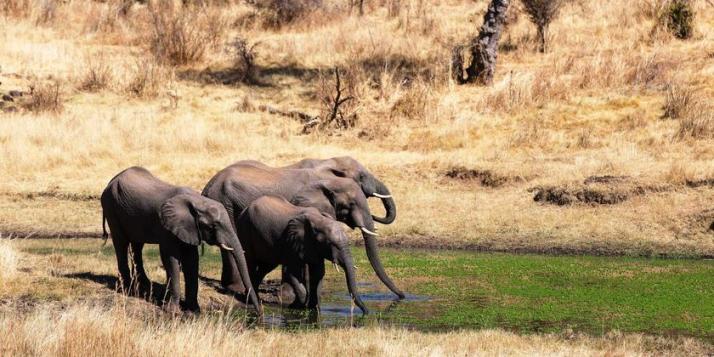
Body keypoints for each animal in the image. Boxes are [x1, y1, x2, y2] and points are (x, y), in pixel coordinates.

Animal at [98, 165, 258, 312]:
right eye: (213, 226)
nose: (259, 313)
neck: (198, 201)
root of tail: (111, 181)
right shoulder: (166, 227)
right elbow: (171, 258)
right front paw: (172, 311)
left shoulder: (189, 228)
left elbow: (192, 260)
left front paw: (194, 311)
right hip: (111, 206)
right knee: (121, 243)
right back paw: (127, 289)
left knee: (137, 245)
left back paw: (144, 283)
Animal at [236, 195, 368, 314]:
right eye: (330, 244)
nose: (366, 312)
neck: (319, 221)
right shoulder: (291, 241)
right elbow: (291, 271)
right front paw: (296, 307)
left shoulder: (313, 248)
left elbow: (318, 273)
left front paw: (314, 309)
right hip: (244, 229)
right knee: (251, 263)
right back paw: (249, 300)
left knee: (265, 267)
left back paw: (253, 298)